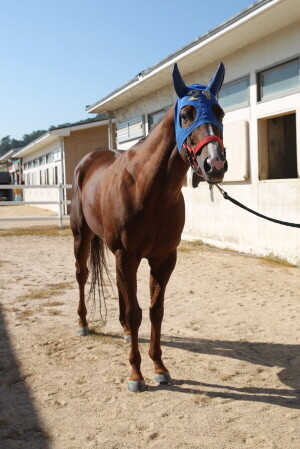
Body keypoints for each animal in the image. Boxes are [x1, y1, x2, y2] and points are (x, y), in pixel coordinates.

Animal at [70, 61, 227, 390]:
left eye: (219, 113)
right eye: (186, 115)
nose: (215, 165)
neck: (148, 189)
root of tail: (89, 160)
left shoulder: (162, 258)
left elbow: (155, 311)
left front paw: (159, 367)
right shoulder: (128, 256)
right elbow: (135, 312)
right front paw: (136, 374)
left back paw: (125, 333)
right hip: (82, 236)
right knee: (82, 275)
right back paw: (83, 323)